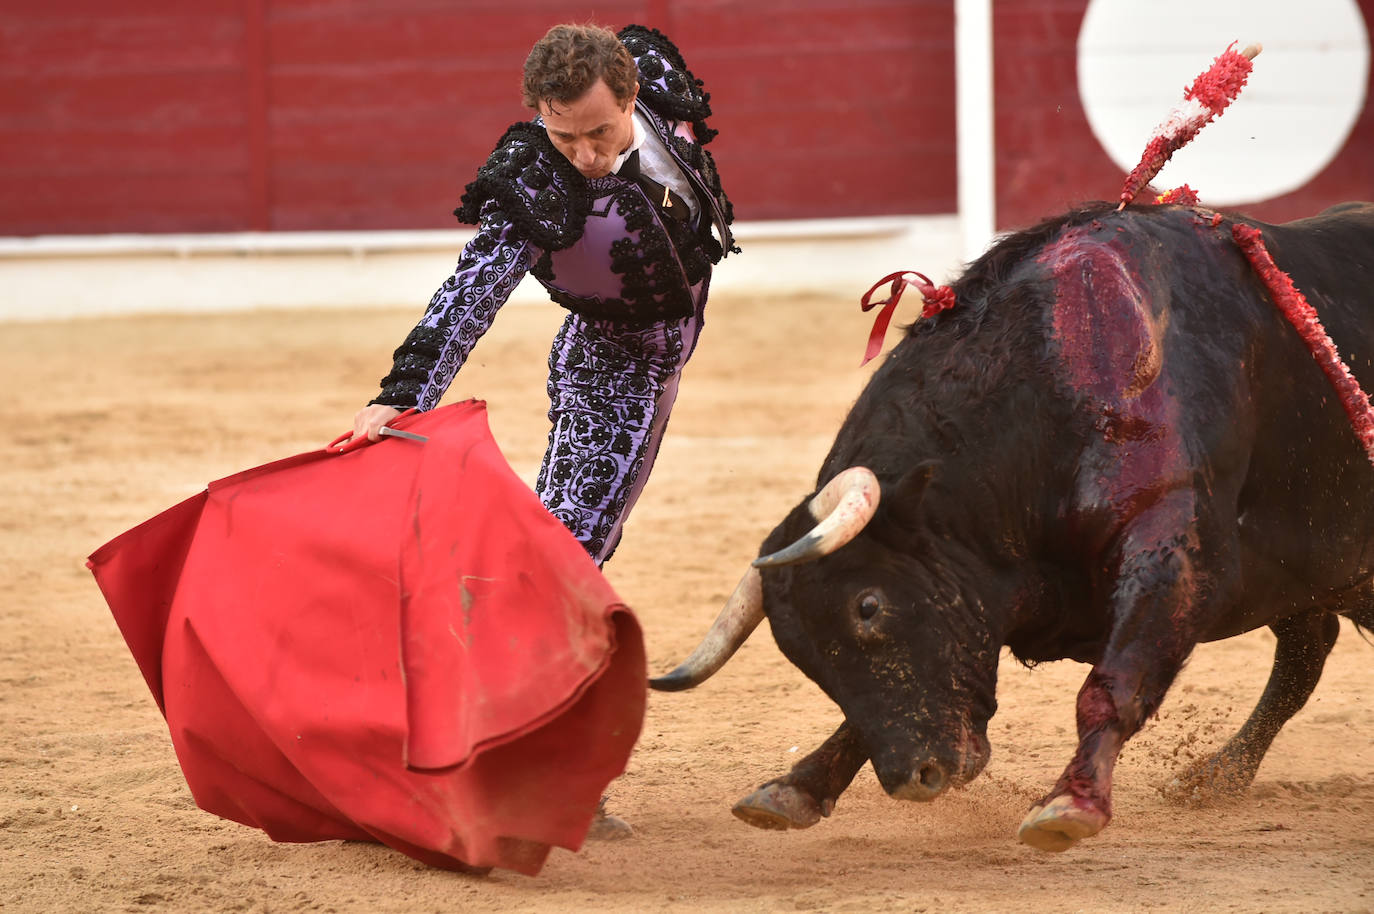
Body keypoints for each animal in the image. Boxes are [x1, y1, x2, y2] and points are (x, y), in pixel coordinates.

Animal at [651, 197, 1374, 846]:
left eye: (868, 607)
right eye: (798, 651)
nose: (917, 777)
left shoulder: (1176, 552)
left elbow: (1113, 683)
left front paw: (1070, 805)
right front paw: (795, 788)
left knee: (1301, 660)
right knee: (1306, 655)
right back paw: (1215, 777)